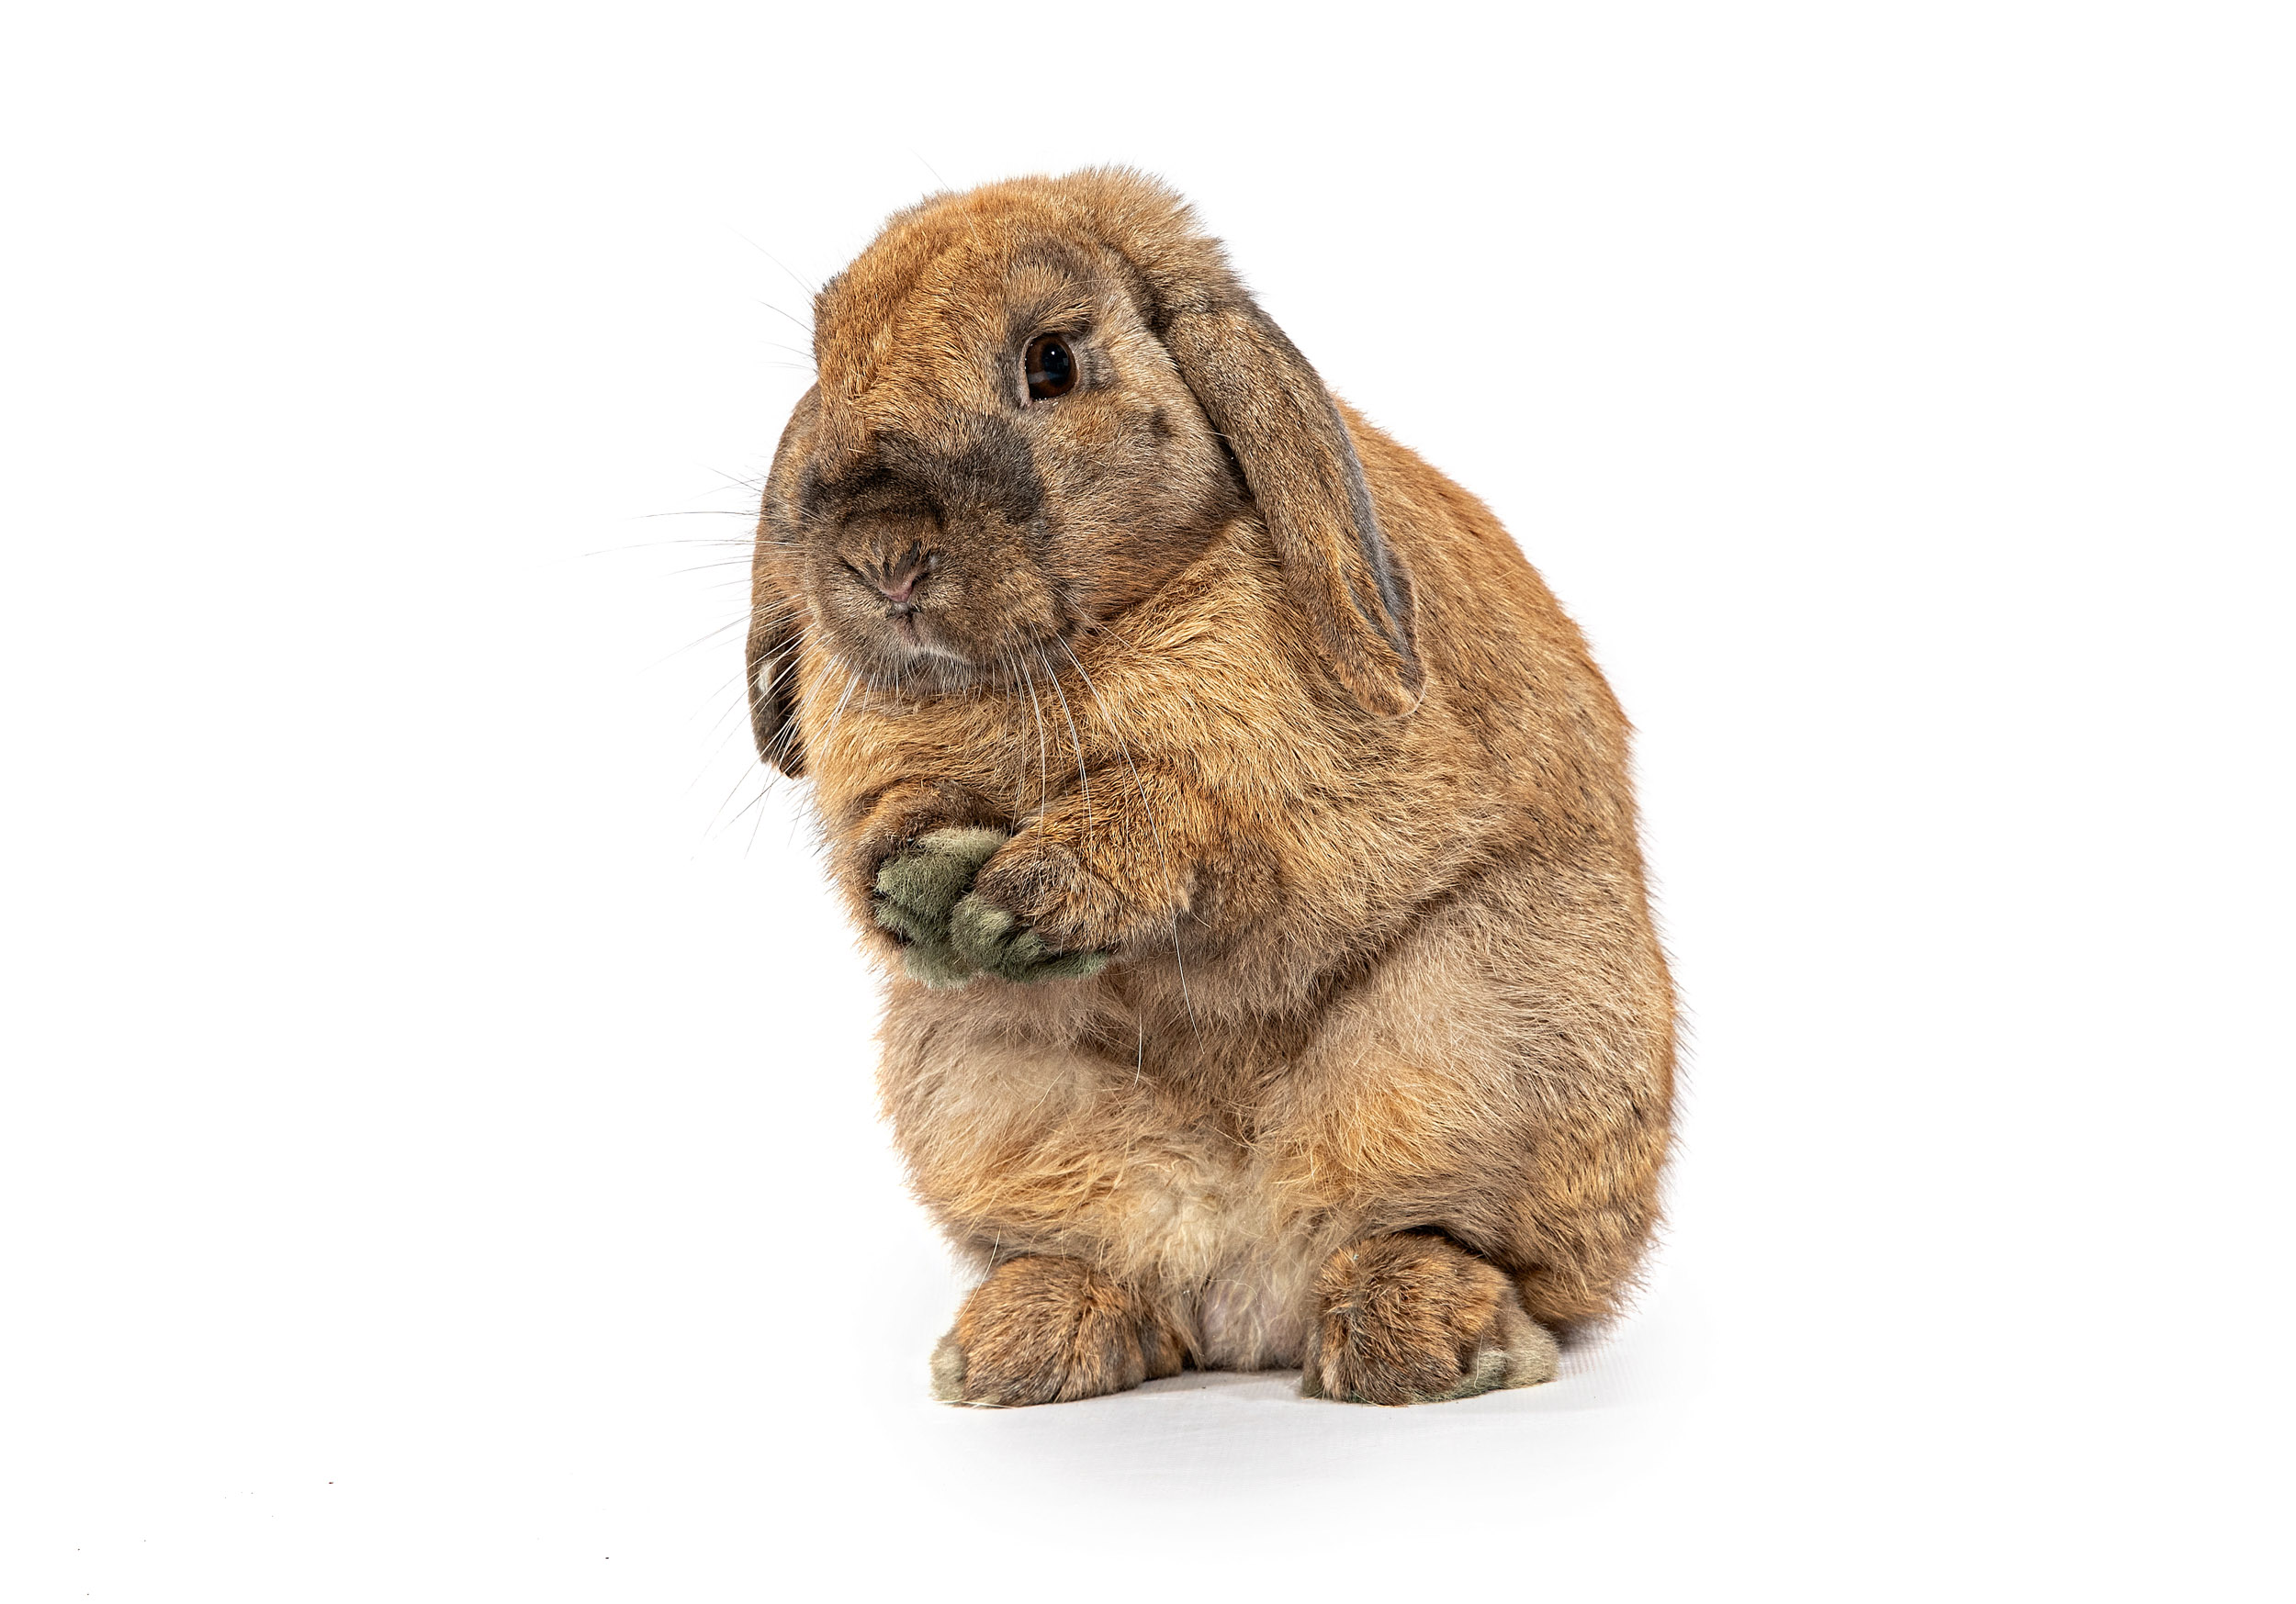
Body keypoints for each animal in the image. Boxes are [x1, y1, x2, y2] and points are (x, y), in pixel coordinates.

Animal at [745, 169, 1674, 1406]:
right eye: (828, 361)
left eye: (1051, 362)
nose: (880, 557)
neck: (1066, 653)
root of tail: (1251, 1302)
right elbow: (883, 838)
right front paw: (920, 883)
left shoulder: (1311, 810)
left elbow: (1208, 838)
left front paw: (1026, 898)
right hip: (987, 1104)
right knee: (1126, 1273)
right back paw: (1023, 1340)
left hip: (1495, 1039)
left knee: (1452, 1240)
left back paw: (1429, 1335)